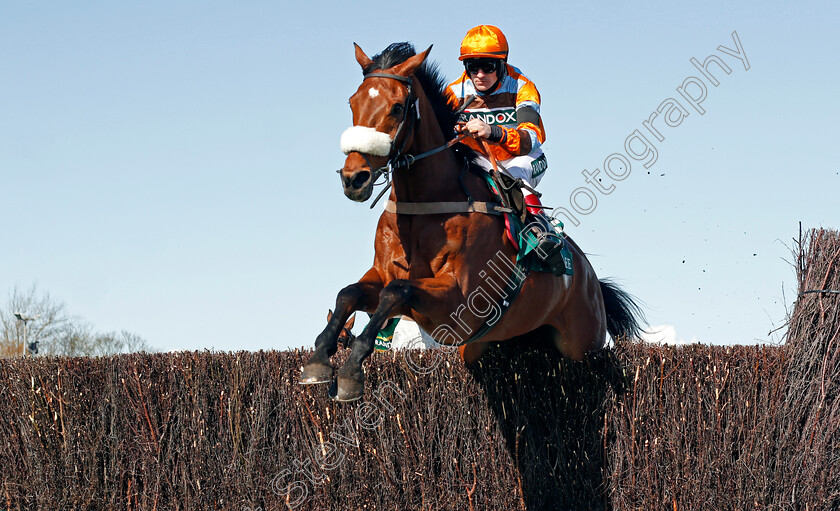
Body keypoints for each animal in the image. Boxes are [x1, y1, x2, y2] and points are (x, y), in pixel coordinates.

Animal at [298, 43, 640, 404]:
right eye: (353, 102)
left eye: (397, 107)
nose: (354, 178)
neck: (426, 205)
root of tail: (590, 277)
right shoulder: (381, 273)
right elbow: (348, 293)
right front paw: (318, 360)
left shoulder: (459, 303)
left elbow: (397, 290)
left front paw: (350, 371)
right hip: (489, 343)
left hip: (583, 344)